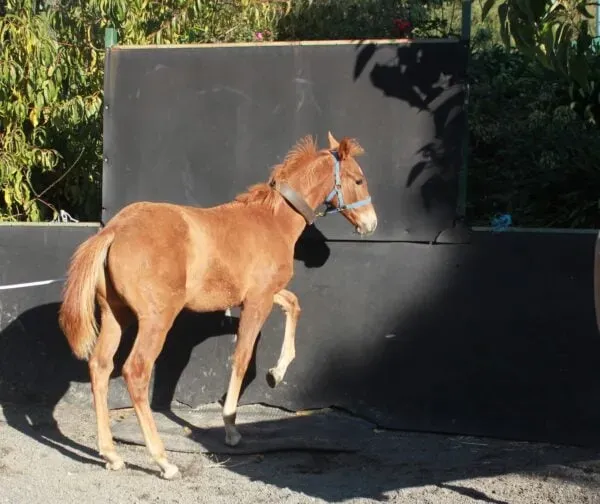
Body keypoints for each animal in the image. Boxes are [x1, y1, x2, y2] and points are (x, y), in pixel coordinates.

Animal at [58, 132, 378, 478]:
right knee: (136, 371)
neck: (272, 221)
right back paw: (162, 460)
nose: (371, 223)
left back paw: (111, 454)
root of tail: (115, 229)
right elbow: (241, 358)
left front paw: (276, 374)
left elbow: (293, 304)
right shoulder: (257, 301)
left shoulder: (262, 293)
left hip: (115, 315)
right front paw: (231, 428)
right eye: (359, 179)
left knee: (100, 366)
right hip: (156, 320)